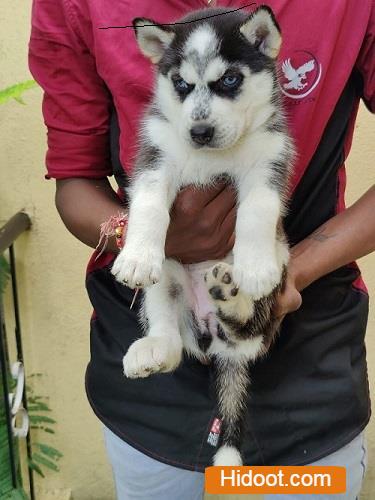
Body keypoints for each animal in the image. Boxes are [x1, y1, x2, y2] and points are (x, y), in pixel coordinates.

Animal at [111, 4, 294, 464]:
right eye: (181, 84)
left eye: (229, 80)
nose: (199, 132)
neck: (214, 156)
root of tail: (213, 332)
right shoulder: (157, 157)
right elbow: (149, 205)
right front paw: (136, 255)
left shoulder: (268, 162)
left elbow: (257, 212)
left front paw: (255, 266)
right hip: (167, 281)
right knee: (172, 340)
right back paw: (152, 349)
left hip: (276, 282)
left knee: (248, 332)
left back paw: (232, 293)